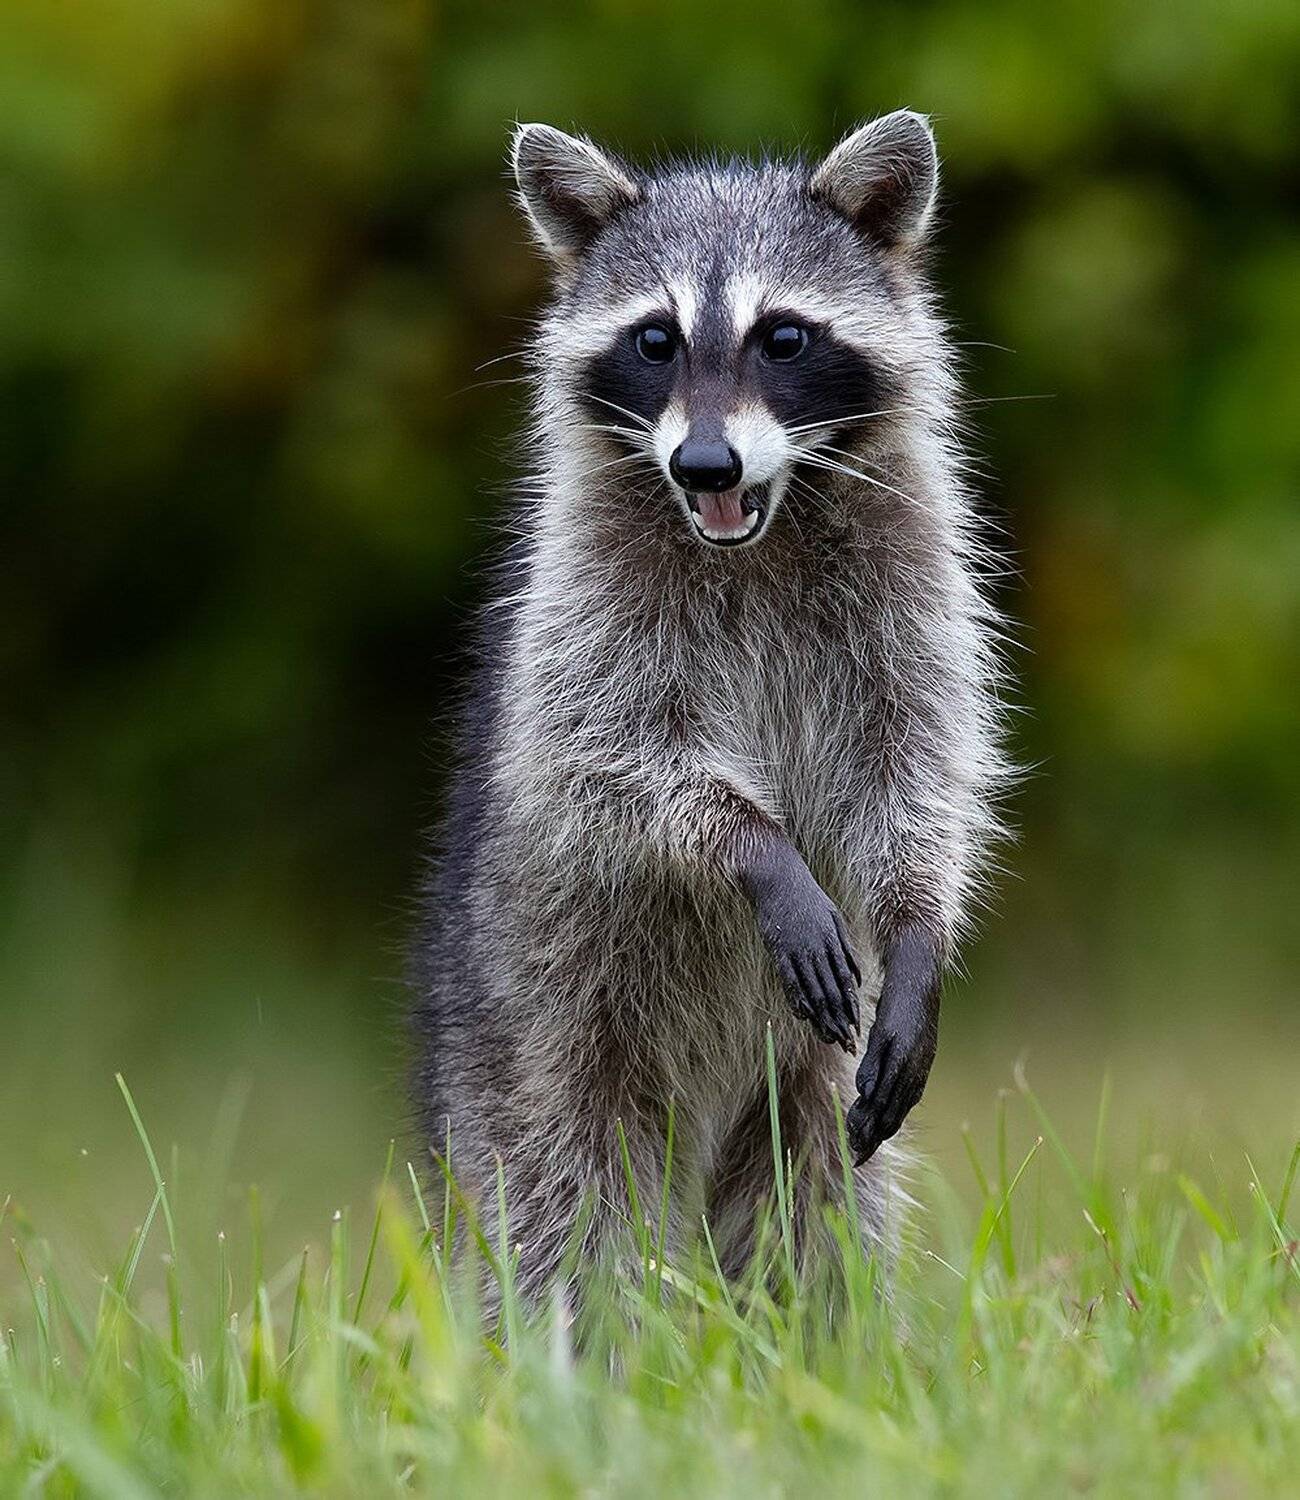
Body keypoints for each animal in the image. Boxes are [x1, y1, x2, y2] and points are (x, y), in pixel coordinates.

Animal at [412, 111, 1008, 1300]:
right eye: (655, 340)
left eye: (783, 338)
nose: (703, 462)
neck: (758, 525)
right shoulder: (582, 605)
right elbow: (606, 755)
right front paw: (752, 847)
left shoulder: (914, 580)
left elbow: (916, 759)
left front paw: (918, 921)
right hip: (538, 1028)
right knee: (561, 1216)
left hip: (804, 1075)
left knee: (814, 1206)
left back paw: (822, 1338)